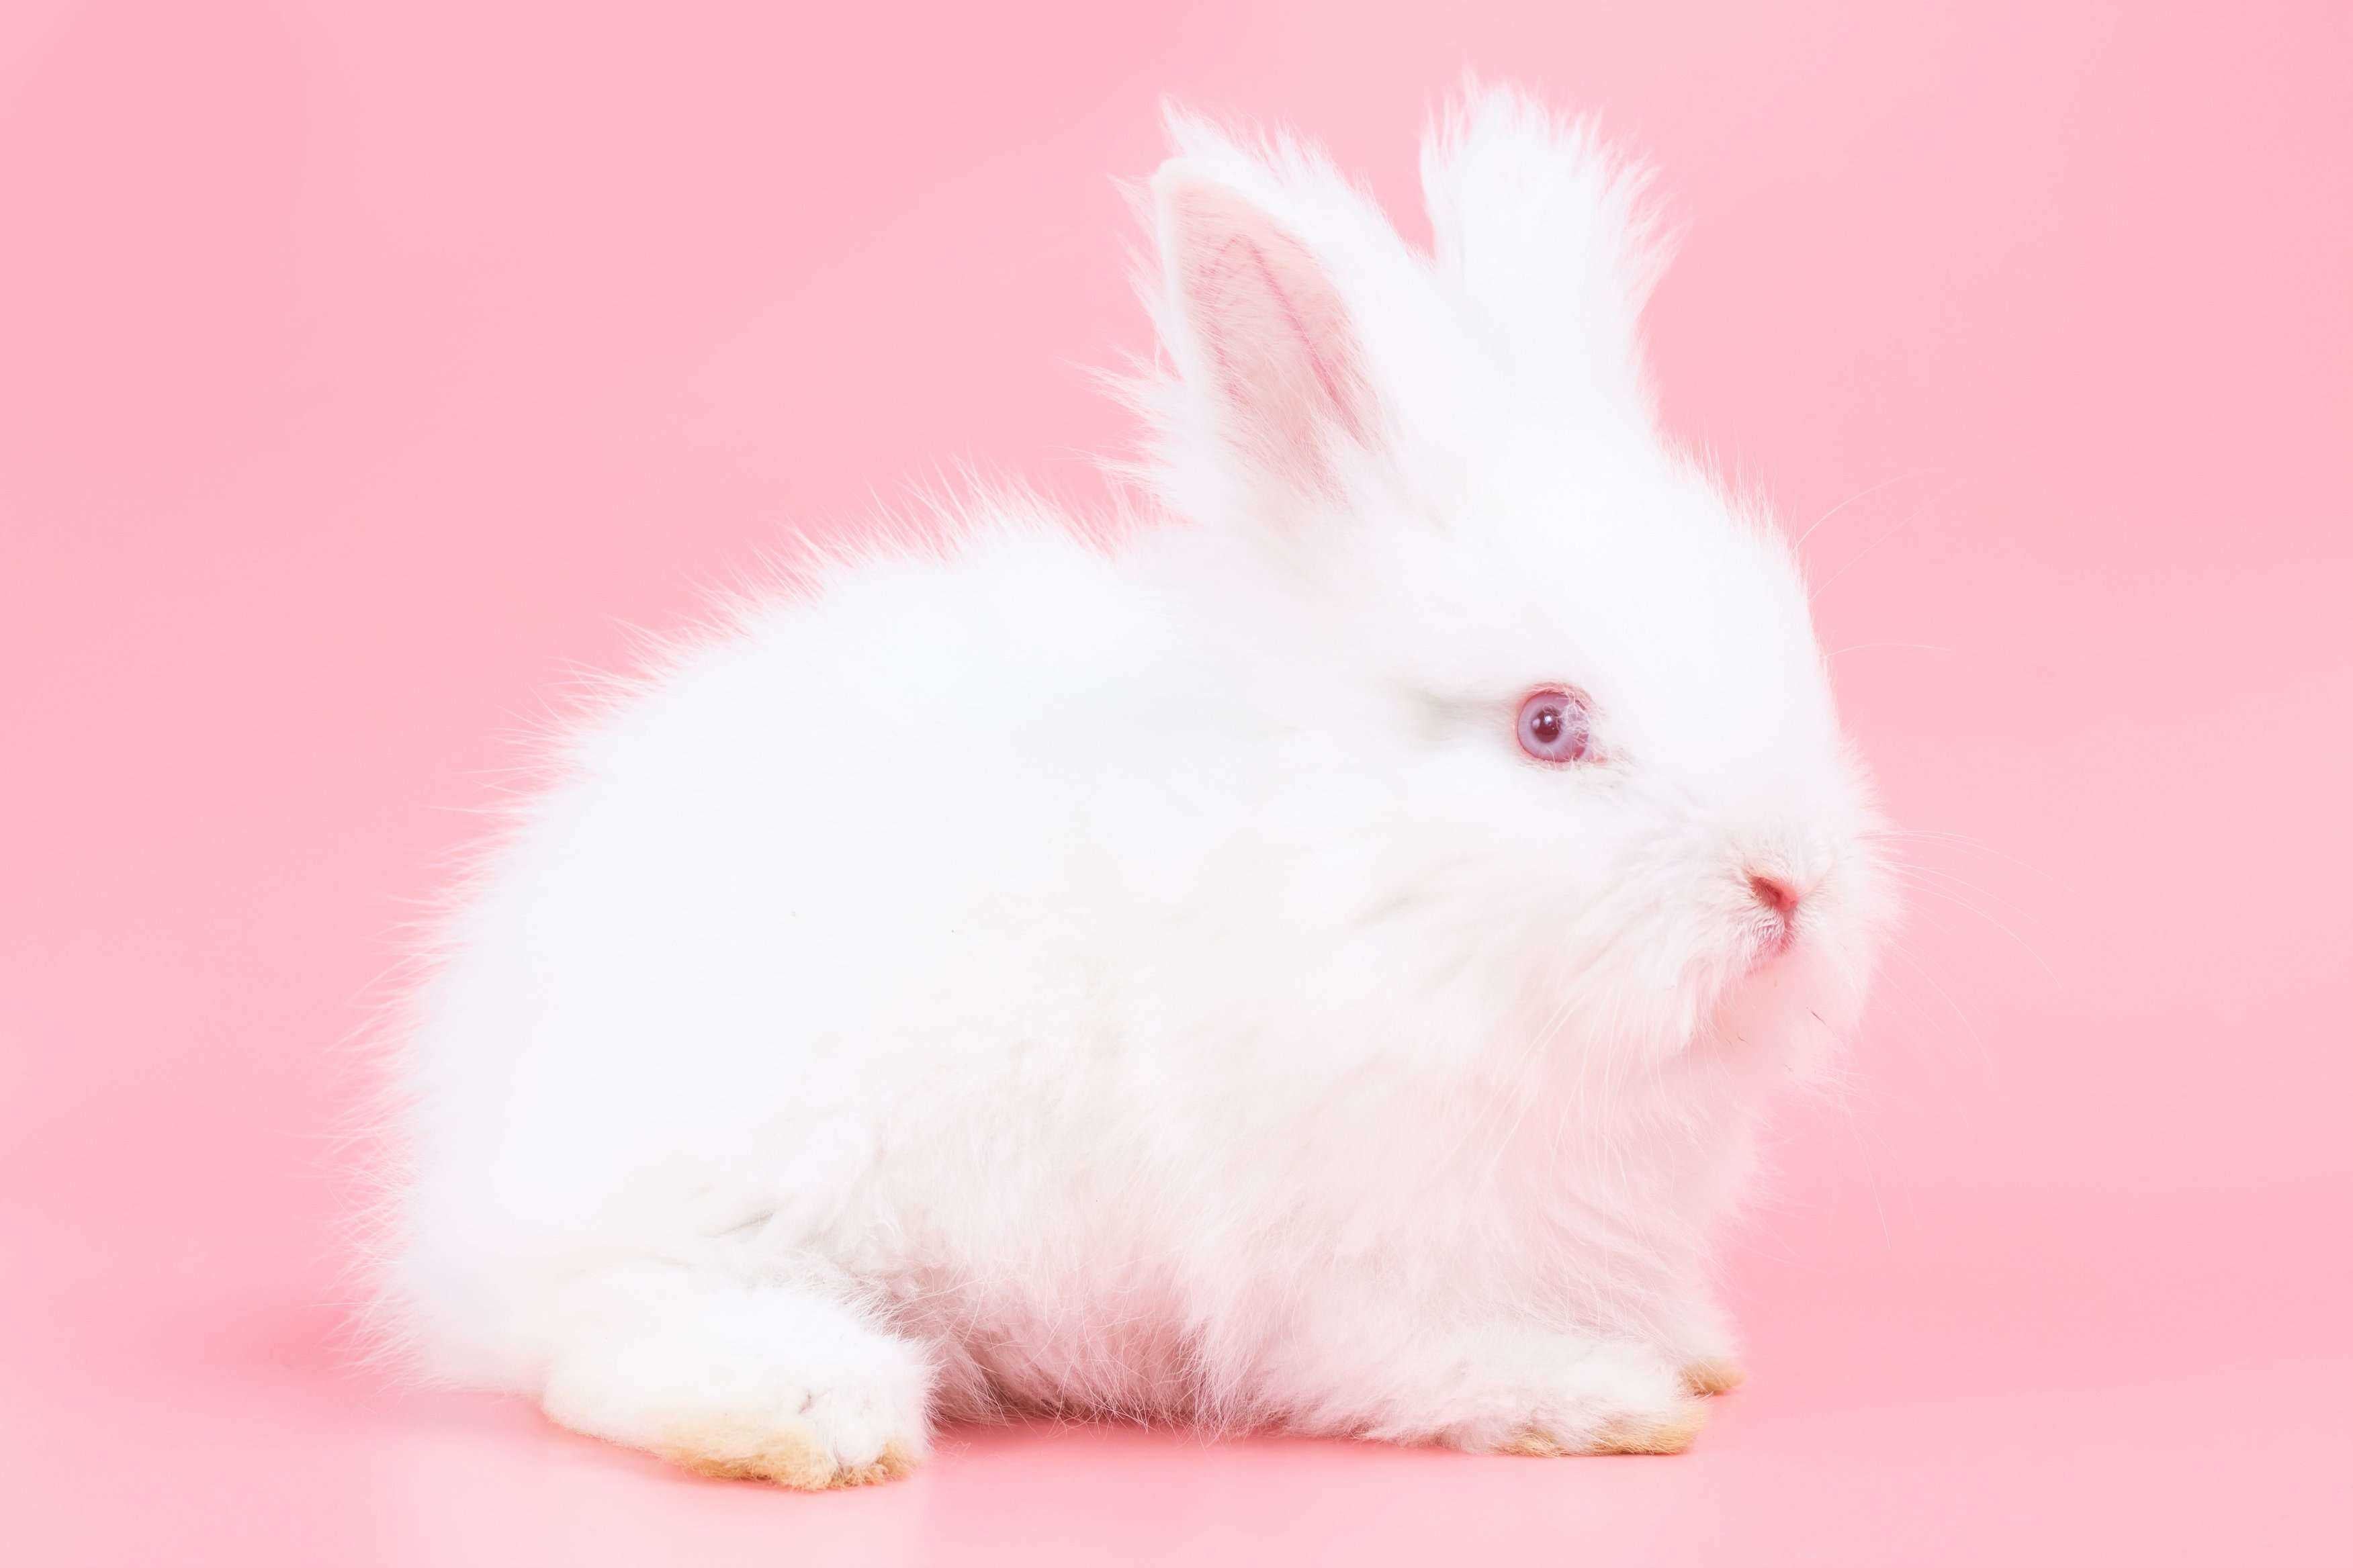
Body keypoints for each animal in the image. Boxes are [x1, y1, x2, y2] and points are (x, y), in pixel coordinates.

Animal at [372, 83, 1890, 1489]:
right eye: (1548, 726)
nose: (1788, 883)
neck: (1374, 885)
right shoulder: (1361, 1257)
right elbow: (1427, 1354)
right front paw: (1603, 1400)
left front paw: (1692, 1351)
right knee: (608, 1333)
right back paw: (817, 1415)